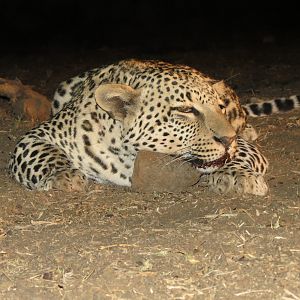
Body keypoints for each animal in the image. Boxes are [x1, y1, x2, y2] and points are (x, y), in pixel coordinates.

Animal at [7, 59, 300, 196]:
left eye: (219, 108)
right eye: (186, 110)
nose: (229, 139)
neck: (128, 157)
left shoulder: (243, 148)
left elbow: (238, 157)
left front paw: (238, 176)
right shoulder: (38, 135)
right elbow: (43, 154)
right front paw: (63, 176)